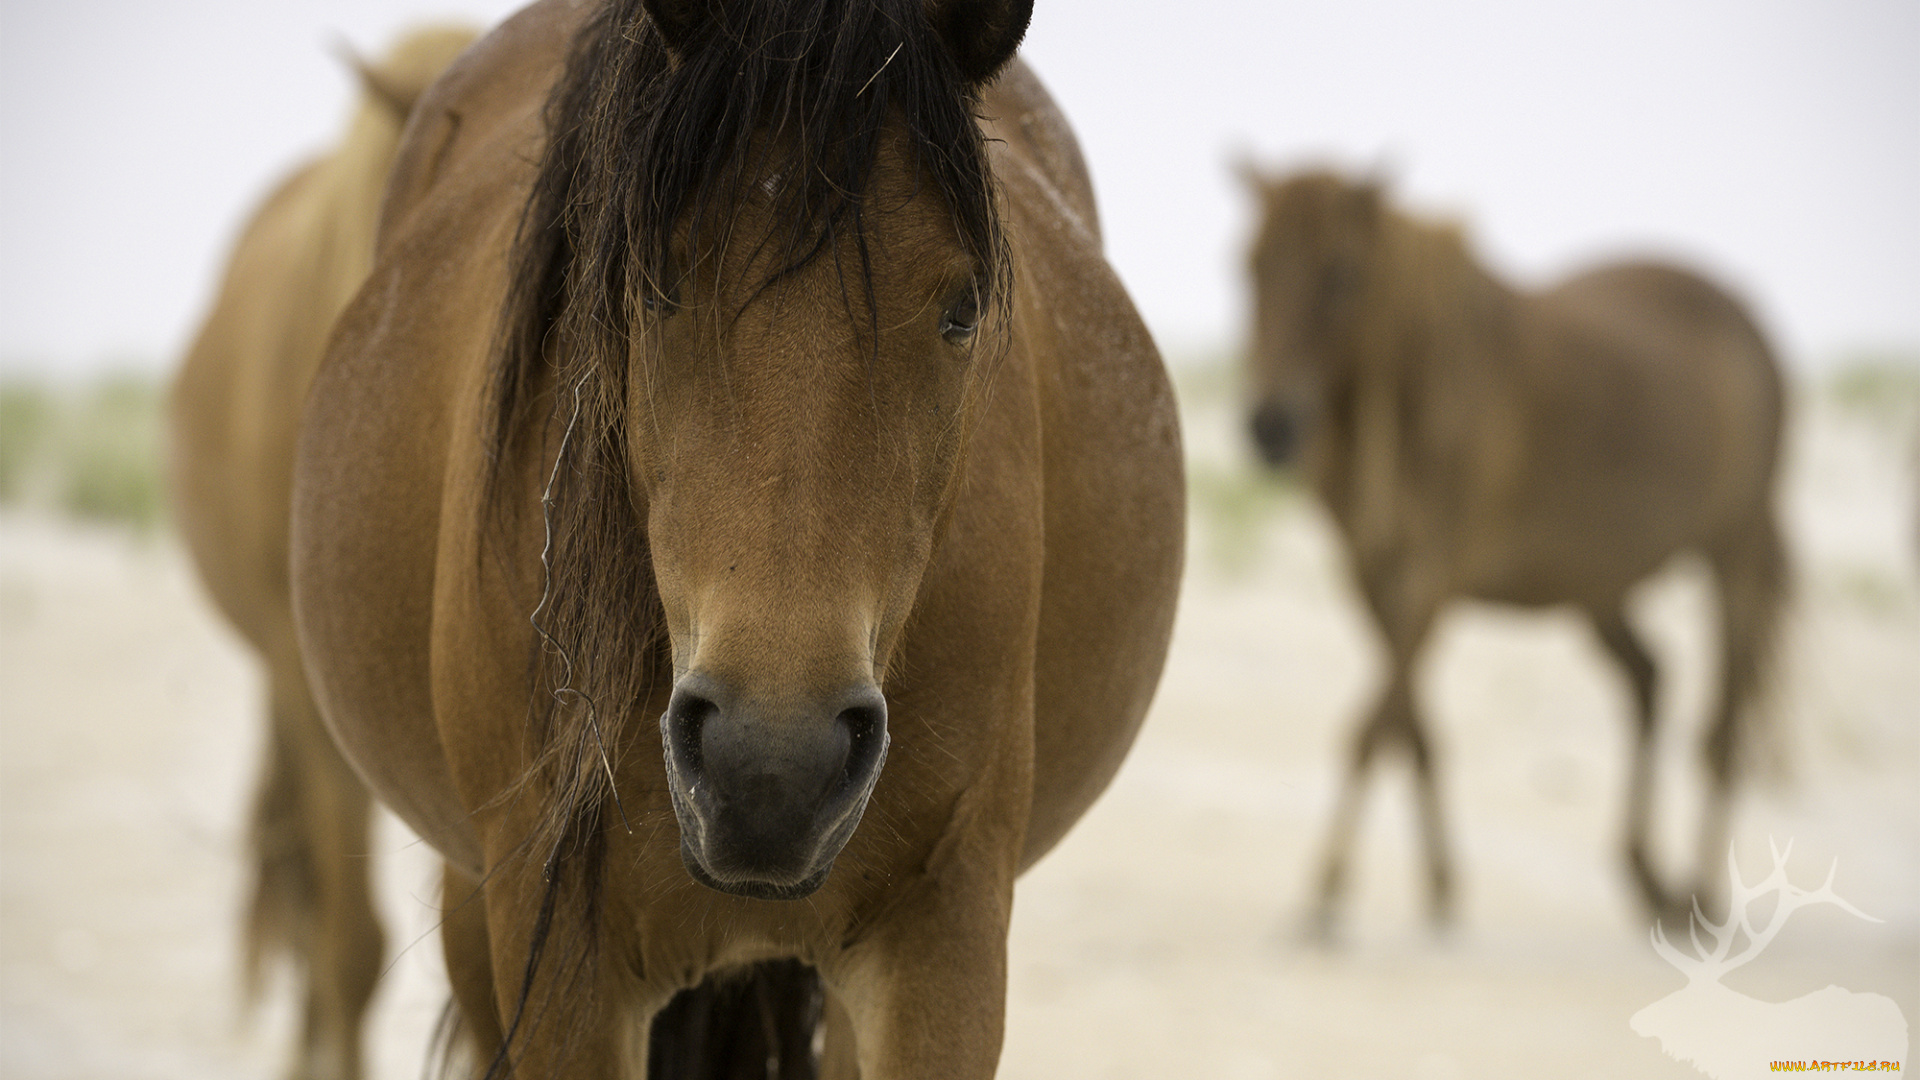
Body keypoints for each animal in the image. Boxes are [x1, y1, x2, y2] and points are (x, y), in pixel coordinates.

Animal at [1236, 164, 1789, 930]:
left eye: (1341, 273)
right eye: (1250, 266)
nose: (1270, 425)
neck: (1416, 383)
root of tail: (1752, 324)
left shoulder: (1433, 572)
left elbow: (1373, 725)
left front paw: (1328, 888)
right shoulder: (1368, 572)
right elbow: (1412, 727)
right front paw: (1441, 887)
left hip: (1734, 552)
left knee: (1726, 722)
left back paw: (1699, 892)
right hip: (1597, 582)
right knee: (1650, 678)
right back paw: (1647, 877)